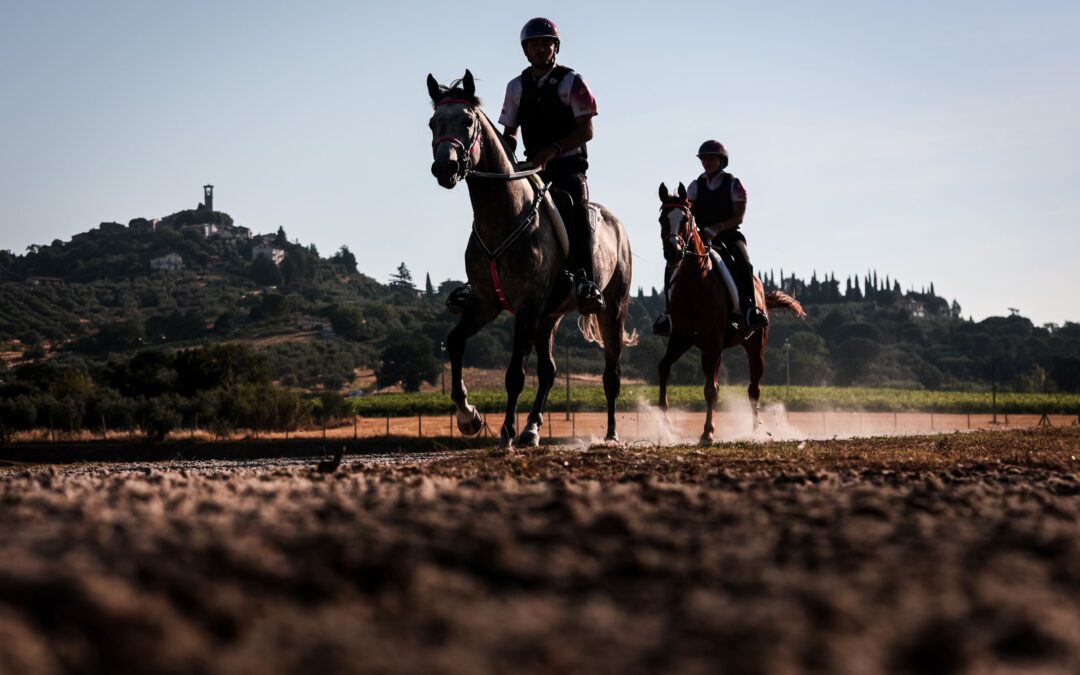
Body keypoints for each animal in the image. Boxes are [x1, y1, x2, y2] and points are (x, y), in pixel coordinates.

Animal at [427, 70, 636, 449]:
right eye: (433, 123)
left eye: (467, 121)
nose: (445, 168)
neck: (502, 217)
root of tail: (617, 224)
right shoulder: (485, 303)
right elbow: (455, 341)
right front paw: (469, 417)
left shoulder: (526, 306)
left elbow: (514, 373)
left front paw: (505, 432)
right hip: (549, 316)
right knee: (549, 371)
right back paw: (532, 429)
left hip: (612, 308)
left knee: (611, 373)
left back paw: (610, 434)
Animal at [657, 182, 805, 444]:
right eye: (662, 219)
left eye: (685, 219)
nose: (673, 252)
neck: (695, 281)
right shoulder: (680, 339)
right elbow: (664, 369)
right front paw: (667, 424)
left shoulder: (715, 343)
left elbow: (711, 390)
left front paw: (707, 432)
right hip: (706, 351)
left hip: (755, 347)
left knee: (753, 389)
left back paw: (755, 431)